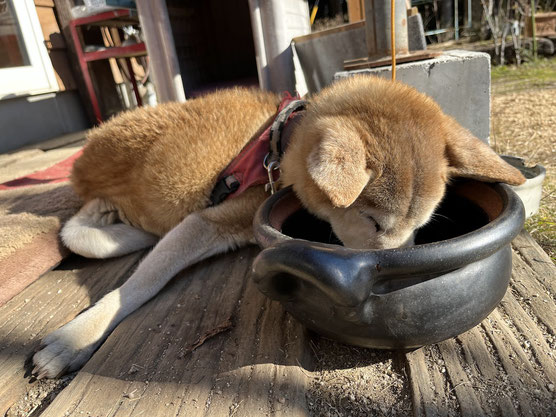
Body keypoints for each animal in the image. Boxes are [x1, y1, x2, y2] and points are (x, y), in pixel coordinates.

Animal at [31, 75, 524, 376]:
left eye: (419, 228)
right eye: (372, 221)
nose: (399, 279)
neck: (275, 144)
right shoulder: (207, 221)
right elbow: (137, 285)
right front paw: (76, 338)